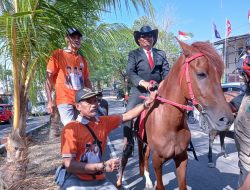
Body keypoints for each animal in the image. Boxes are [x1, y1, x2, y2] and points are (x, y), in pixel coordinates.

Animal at [139, 40, 234, 190]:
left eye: (219, 75)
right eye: (201, 74)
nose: (227, 120)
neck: (170, 124)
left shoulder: (182, 158)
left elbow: (182, 184)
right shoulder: (157, 161)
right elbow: (159, 185)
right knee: (144, 156)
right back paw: (148, 181)